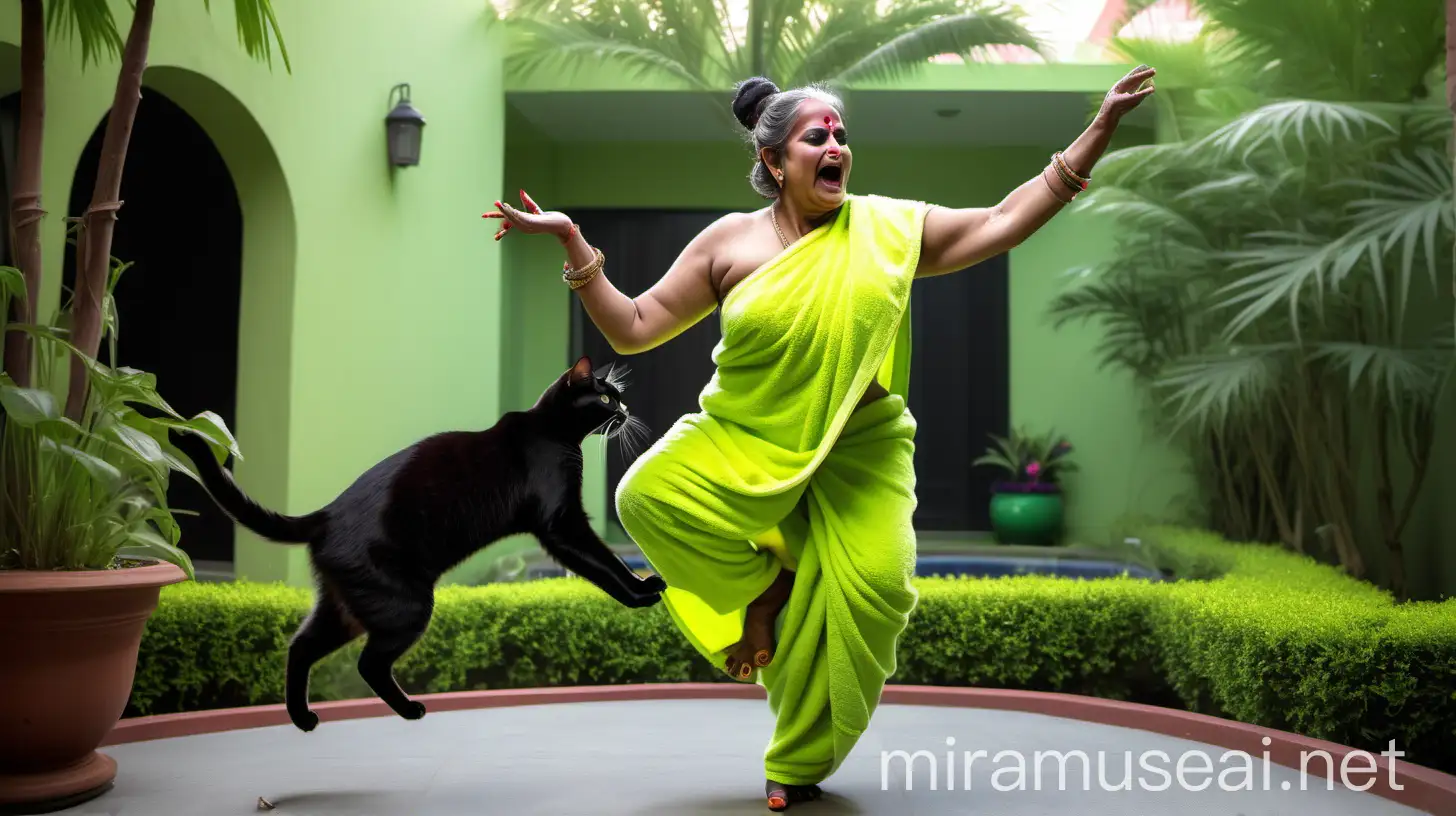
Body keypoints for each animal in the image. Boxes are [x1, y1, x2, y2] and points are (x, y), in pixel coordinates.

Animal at [168, 357, 661, 734]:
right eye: (605, 399)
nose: (626, 409)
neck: (553, 432)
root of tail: (323, 516)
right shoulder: (561, 524)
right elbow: (603, 562)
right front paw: (640, 593)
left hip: (347, 607)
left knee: (300, 646)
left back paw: (303, 718)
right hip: (406, 605)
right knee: (367, 664)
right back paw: (409, 710)